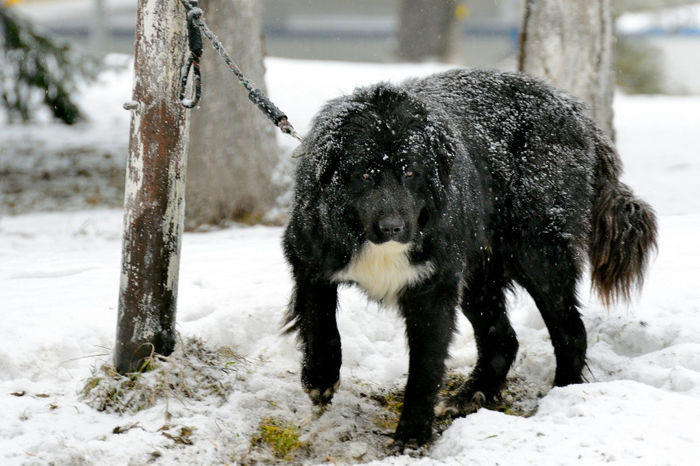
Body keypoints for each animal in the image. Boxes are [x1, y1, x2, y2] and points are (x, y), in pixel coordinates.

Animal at [280, 68, 656, 448]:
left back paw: (561, 396)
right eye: (366, 173)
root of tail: (575, 110)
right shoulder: (309, 258)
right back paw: (467, 396)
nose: (393, 227)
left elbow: (424, 367)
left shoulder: (433, 287)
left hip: (538, 255)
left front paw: (411, 435)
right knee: (502, 339)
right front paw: (320, 378)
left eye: (411, 172)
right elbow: (320, 321)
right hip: (481, 273)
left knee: (570, 331)